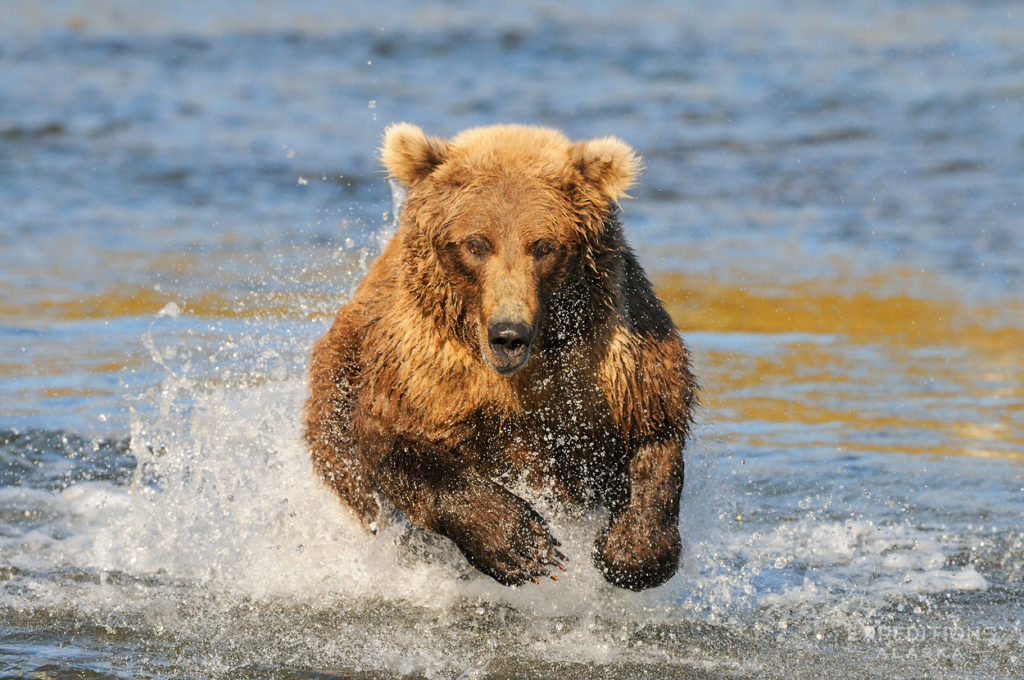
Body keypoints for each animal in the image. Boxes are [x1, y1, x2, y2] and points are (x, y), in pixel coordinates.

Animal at [303, 122, 696, 589]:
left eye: (543, 245)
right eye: (476, 244)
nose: (509, 335)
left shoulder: (611, 359)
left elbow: (654, 429)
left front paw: (628, 550)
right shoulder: (427, 366)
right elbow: (396, 442)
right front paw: (523, 544)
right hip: (338, 389)